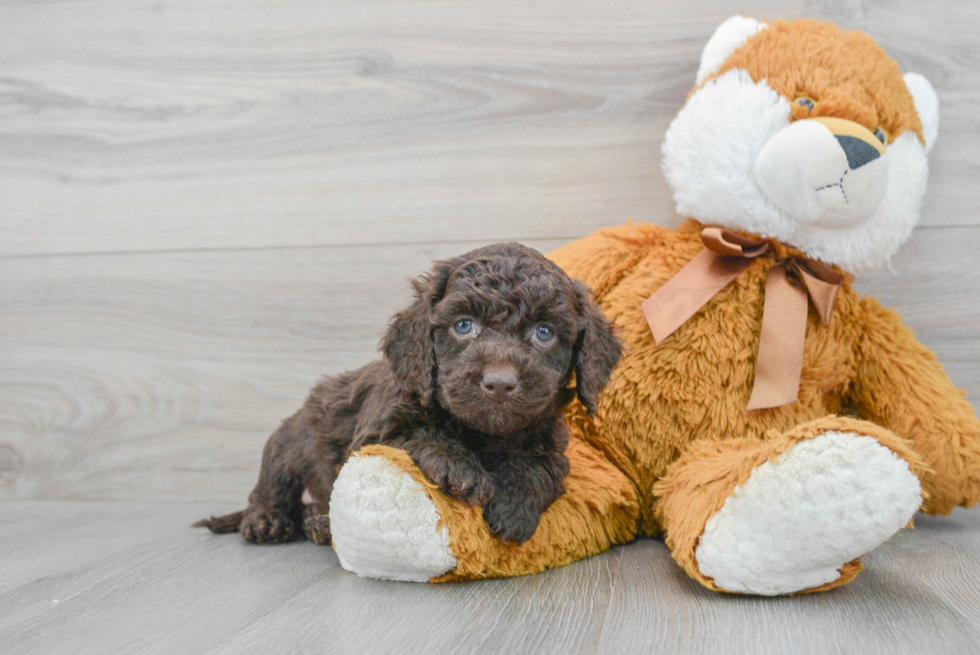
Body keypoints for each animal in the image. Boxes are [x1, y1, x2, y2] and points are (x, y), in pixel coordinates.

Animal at [197, 243, 620, 544]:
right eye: (464, 325)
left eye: (544, 332)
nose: (499, 382)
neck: (483, 434)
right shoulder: (376, 433)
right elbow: (419, 433)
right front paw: (460, 468)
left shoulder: (550, 444)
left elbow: (539, 468)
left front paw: (513, 503)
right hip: (288, 444)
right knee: (270, 486)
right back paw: (267, 520)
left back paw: (318, 523)